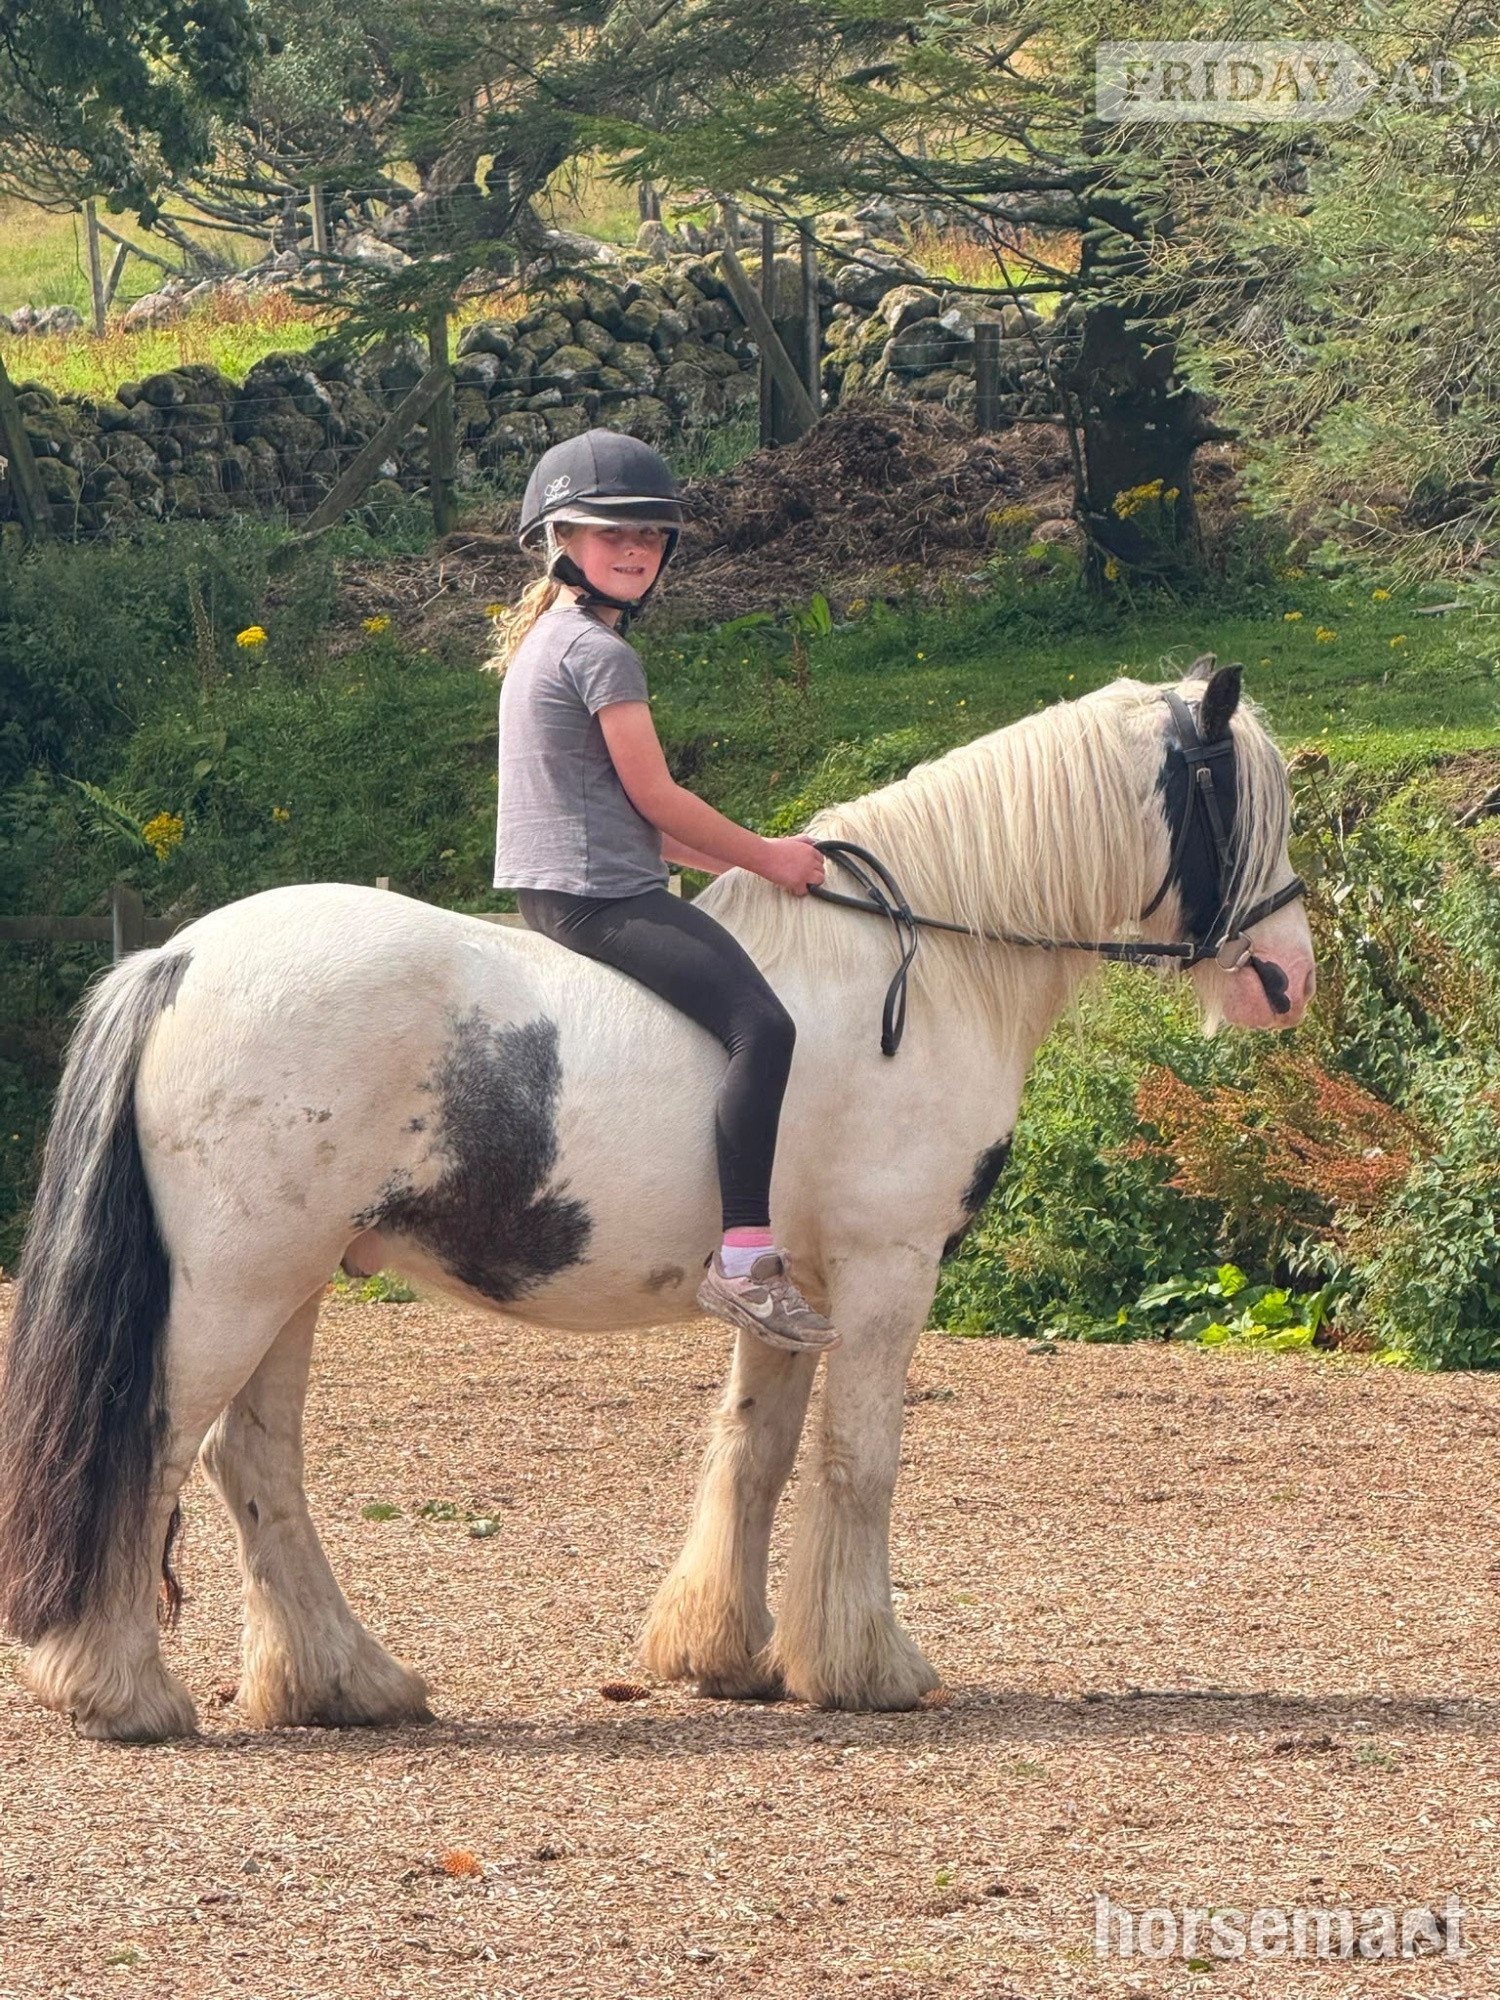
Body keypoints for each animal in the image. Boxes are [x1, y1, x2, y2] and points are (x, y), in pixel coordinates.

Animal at [0, 659, 1314, 1741]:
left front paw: (725, 1654)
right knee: (156, 1443)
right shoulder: (888, 1268)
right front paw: (869, 1664)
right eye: (1235, 800)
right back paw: (120, 1689)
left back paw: (343, 1682)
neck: (921, 965)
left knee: (254, 1461)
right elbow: (861, 1457)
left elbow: (759, 1450)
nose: (1289, 978)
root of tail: (174, 960)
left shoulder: (799, 1288)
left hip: (293, 1282)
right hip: (241, 1282)